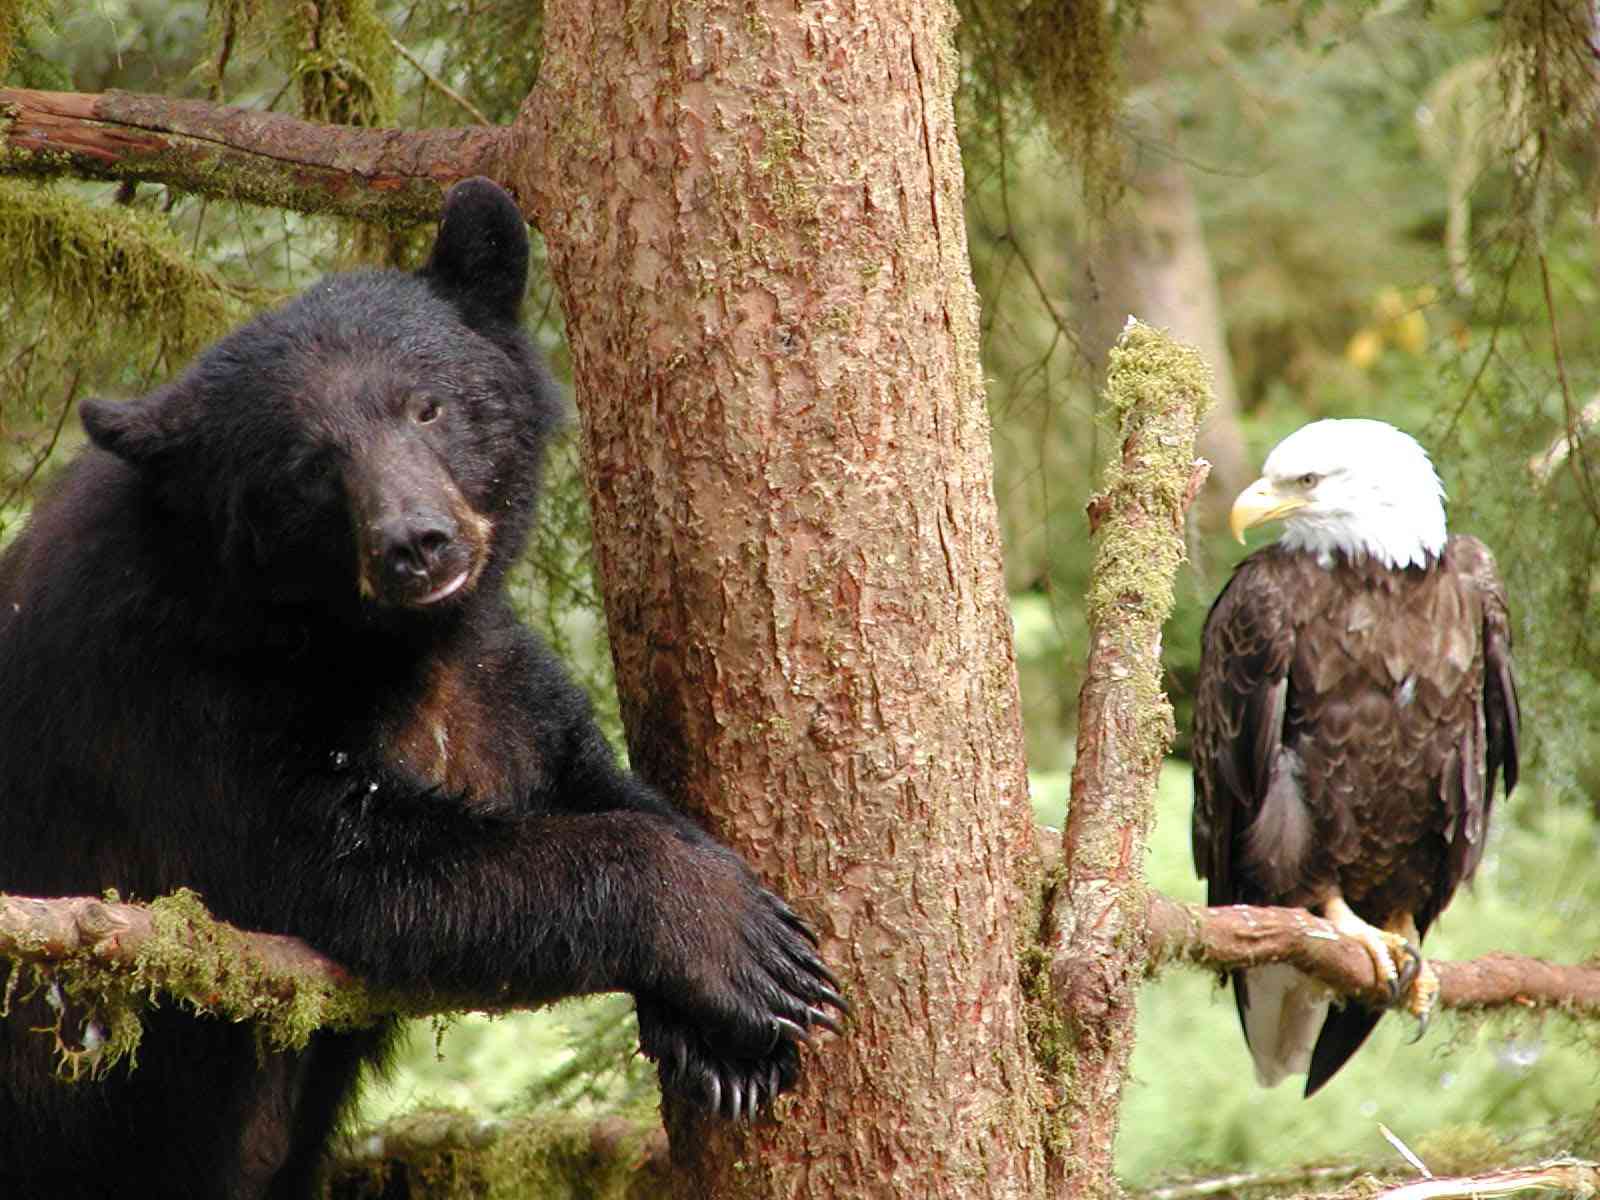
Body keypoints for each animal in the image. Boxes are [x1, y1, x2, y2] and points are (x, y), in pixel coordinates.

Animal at [0, 180, 851, 1200]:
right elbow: (352, 863)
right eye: (307, 464)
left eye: (428, 407)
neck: (369, 638)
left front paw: (725, 1043)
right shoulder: (177, 702)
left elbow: (587, 775)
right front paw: (741, 945)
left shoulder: (497, 677)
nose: (416, 543)